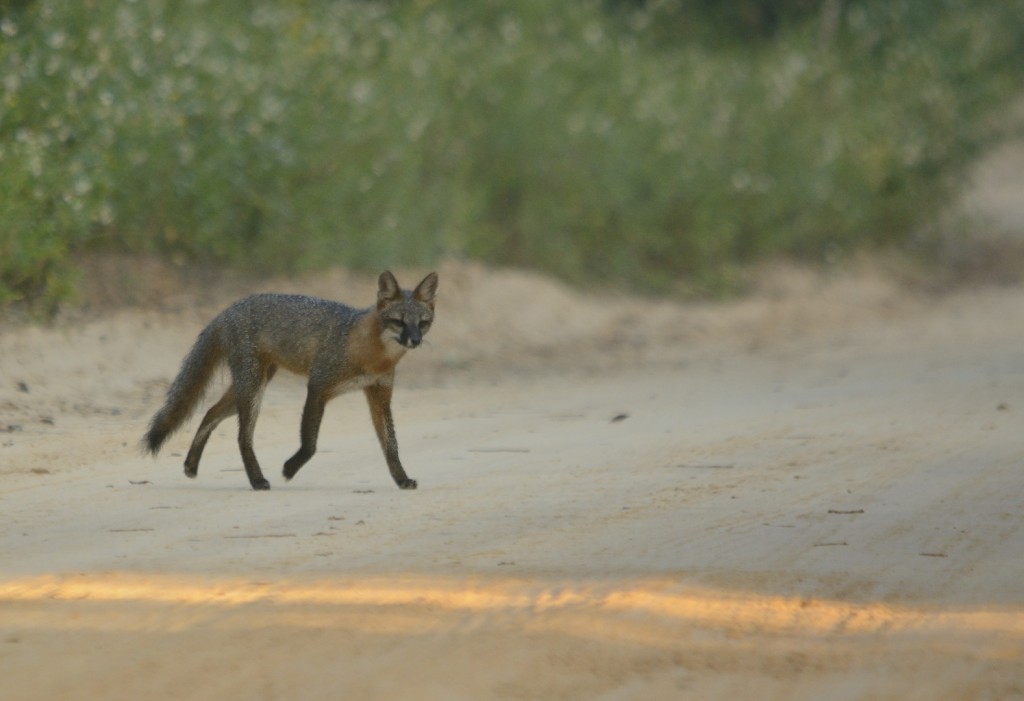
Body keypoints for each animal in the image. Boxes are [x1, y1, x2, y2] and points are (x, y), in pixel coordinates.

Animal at [142, 270, 438, 489]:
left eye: (422, 323)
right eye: (399, 322)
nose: (415, 340)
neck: (371, 354)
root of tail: (228, 309)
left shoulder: (380, 397)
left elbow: (391, 446)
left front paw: (401, 479)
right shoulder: (318, 386)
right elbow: (310, 444)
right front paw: (289, 469)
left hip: (250, 387)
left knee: (209, 413)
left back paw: (191, 465)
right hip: (252, 390)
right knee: (242, 437)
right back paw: (257, 480)